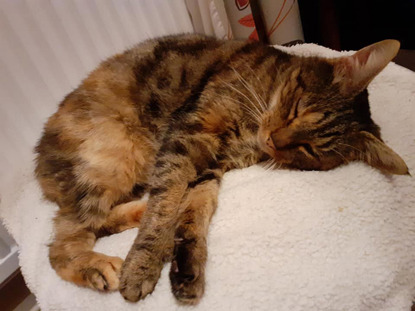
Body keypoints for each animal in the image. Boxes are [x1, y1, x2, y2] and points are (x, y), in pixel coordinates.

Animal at [35, 34, 410, 304]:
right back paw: (101, 266)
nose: (273, 139)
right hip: (113, 159)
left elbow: (195, 211)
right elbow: (165, 207)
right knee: (62, 241)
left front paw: (186, 265)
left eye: (309, 149)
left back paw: (136, 214)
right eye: (298, 109)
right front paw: (143, 264)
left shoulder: (209, 165)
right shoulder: (187, 135)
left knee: (90, 223)